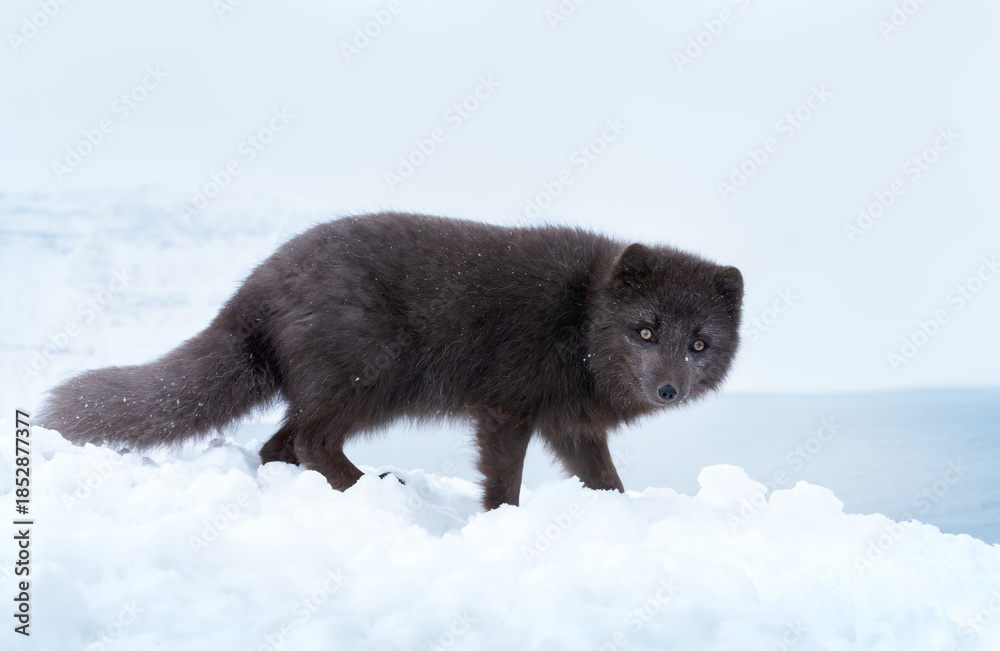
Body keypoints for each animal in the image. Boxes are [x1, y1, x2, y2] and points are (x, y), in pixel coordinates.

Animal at [39, 213, 744, 510]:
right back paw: (371, 487)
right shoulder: (507, 408)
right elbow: (505, 480)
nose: (669, 389)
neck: (581, 320)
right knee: (308, 440)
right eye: (645, 330)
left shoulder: (571, 424)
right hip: (373, 376)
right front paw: (501, 522)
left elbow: (606, 481)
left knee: (279, 445)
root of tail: (254, 289)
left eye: (699, 343)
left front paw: (622, 518)